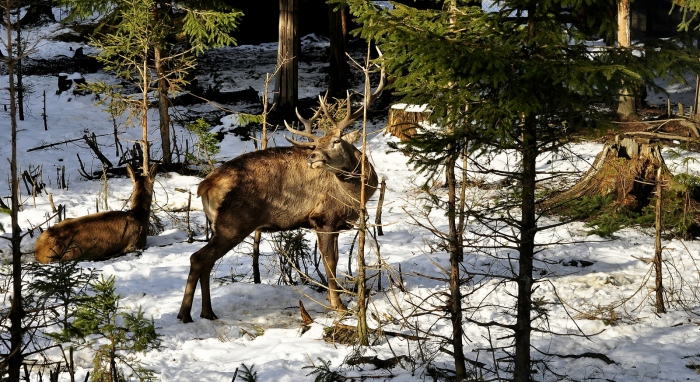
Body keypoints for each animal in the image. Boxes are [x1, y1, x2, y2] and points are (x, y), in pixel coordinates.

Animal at [174, 73, 382, 320]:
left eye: (336, 141)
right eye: (315, 144)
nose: (312, 157)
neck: (358, 193)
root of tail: (205, 185)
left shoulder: (336, 222)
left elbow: (336, 259)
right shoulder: (323, 217)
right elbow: (330, 262)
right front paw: (338, 305)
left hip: (220, 226)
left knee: (207, 261)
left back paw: (207, 312)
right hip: (232, 223)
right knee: (198, 258)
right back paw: (185, 314)